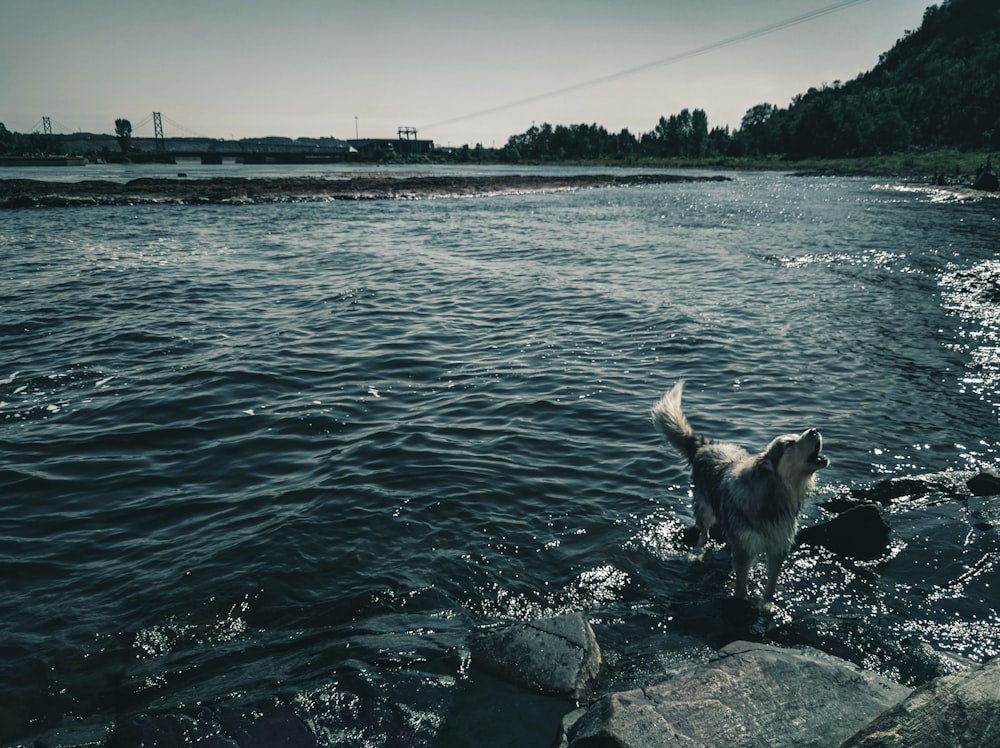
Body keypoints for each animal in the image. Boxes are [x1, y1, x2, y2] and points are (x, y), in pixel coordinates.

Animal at [648, 380, 828, 600]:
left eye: (796, 437)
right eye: (790, 443)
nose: (814, 429)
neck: (773, 495)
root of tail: (706, 444)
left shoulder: (777, 548)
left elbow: (770, 587)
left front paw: (768, 605)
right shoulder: (744, 551)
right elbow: (742, 588)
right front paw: (741, 602)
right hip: (705, 508)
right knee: (704, 533)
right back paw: (697, 552)